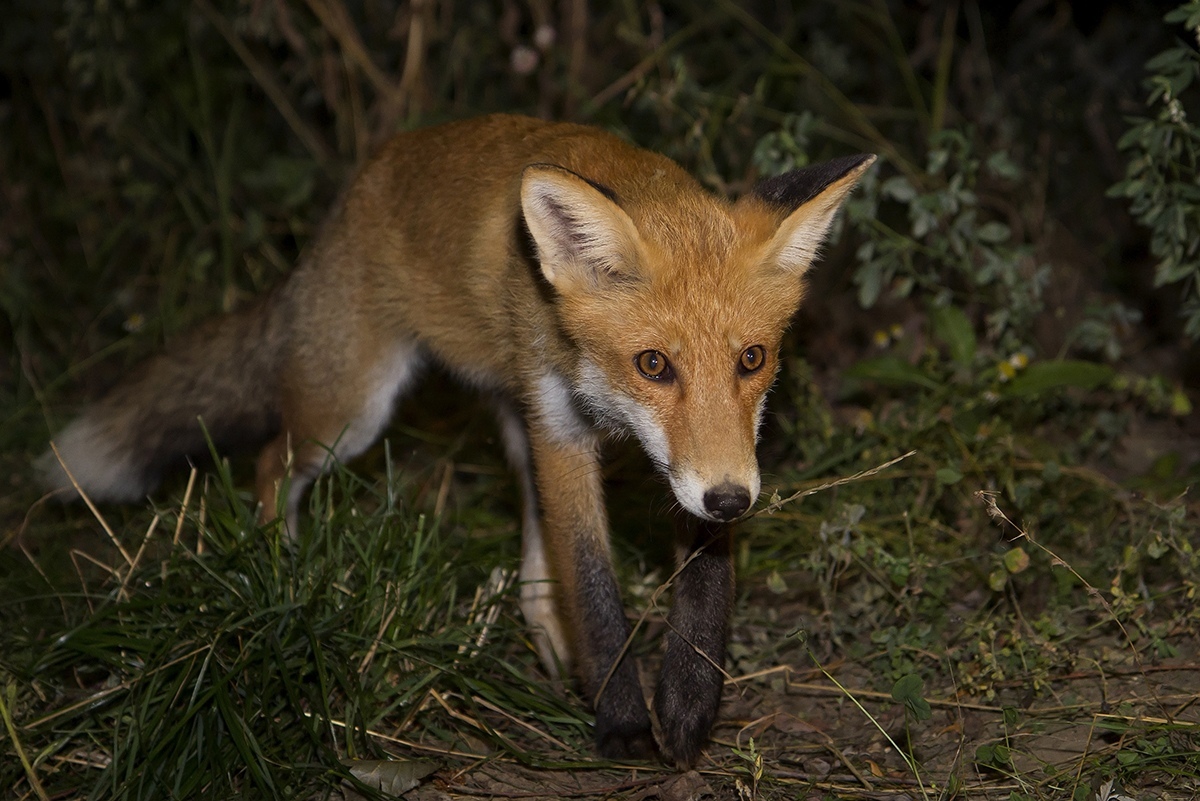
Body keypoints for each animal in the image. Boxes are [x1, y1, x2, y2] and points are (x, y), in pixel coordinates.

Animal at [39, 113, 873, 767]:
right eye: (653, 365)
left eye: (752, 359)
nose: (732, 499)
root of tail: (354, 193)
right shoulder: (564, 430)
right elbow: (593, 586)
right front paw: (623, 725)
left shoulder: (692, 459)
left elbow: (703, 583)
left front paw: (689, 705)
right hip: (353, 415)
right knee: (272, 462)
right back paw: (284, 580)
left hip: (506, 419)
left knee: (533, 555)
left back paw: (543, 639)